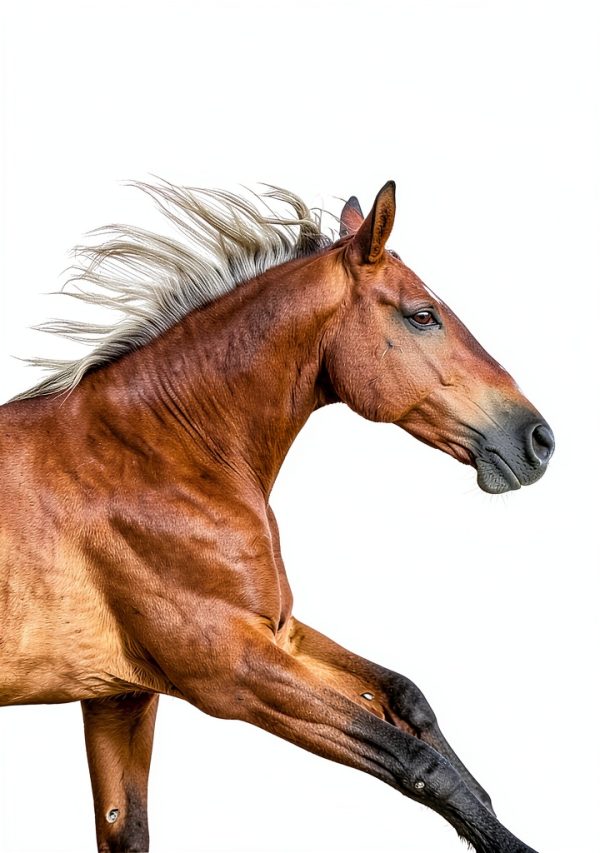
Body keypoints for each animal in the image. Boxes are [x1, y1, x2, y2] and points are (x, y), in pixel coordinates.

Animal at [0, 179, 554, 853]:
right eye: (423, 315)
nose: (538, 441)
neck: (157, 453)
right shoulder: (231, 673)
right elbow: (416, 761)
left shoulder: (152, 684)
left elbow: (406, 697)